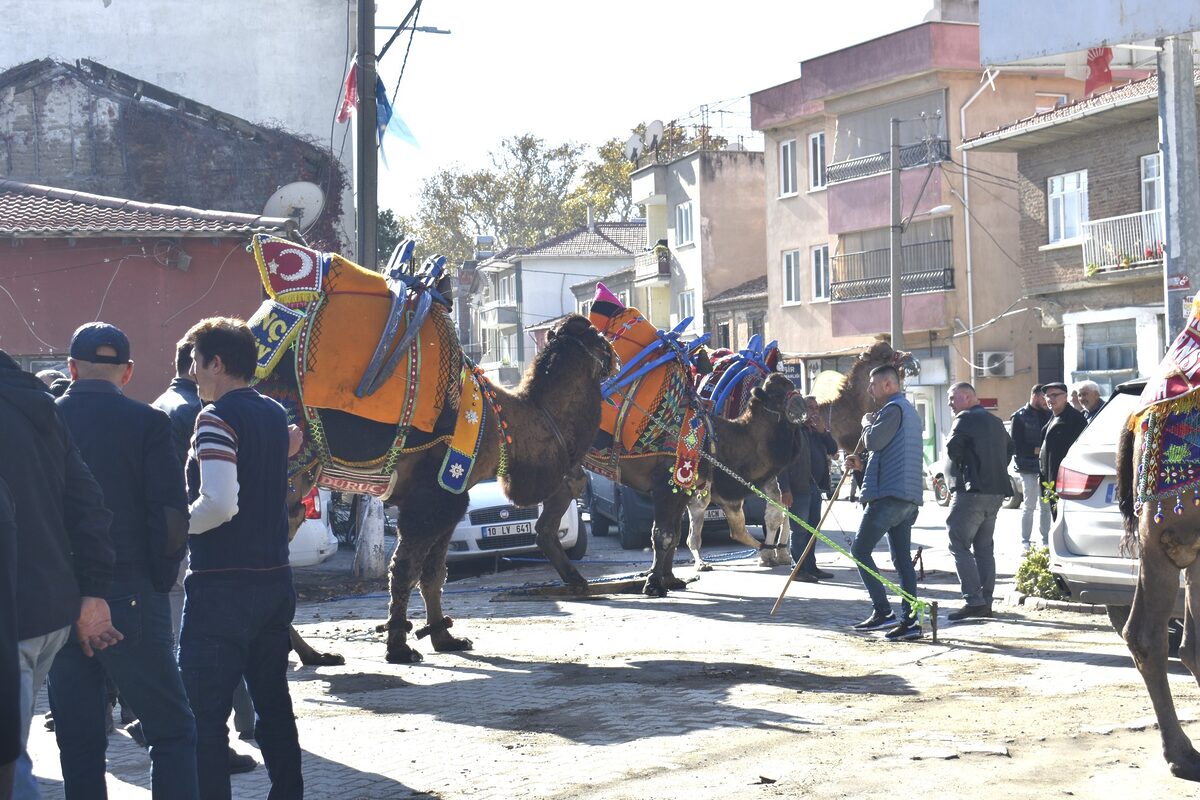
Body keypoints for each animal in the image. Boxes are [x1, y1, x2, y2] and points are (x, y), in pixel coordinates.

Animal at [247, 232, 614, 662]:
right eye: (597, 336)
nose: (614, 354)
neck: (500, 423)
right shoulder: (434, 494)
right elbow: (405, 568)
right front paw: (398, 646)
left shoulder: (450, 495)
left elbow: (434, 572)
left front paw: (443, 637)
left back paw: (314, 655)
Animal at [535, 284, 806, 597]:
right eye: (778, 394)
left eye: (791, 385)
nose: (803, 406)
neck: (718, 438)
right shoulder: (668, 481)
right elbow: (663, 534)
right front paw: (654, 583)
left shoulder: (684, 488)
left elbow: (674, 534)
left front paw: (669, 578)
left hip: (565, 472)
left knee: (547, 524)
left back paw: (575, 580)